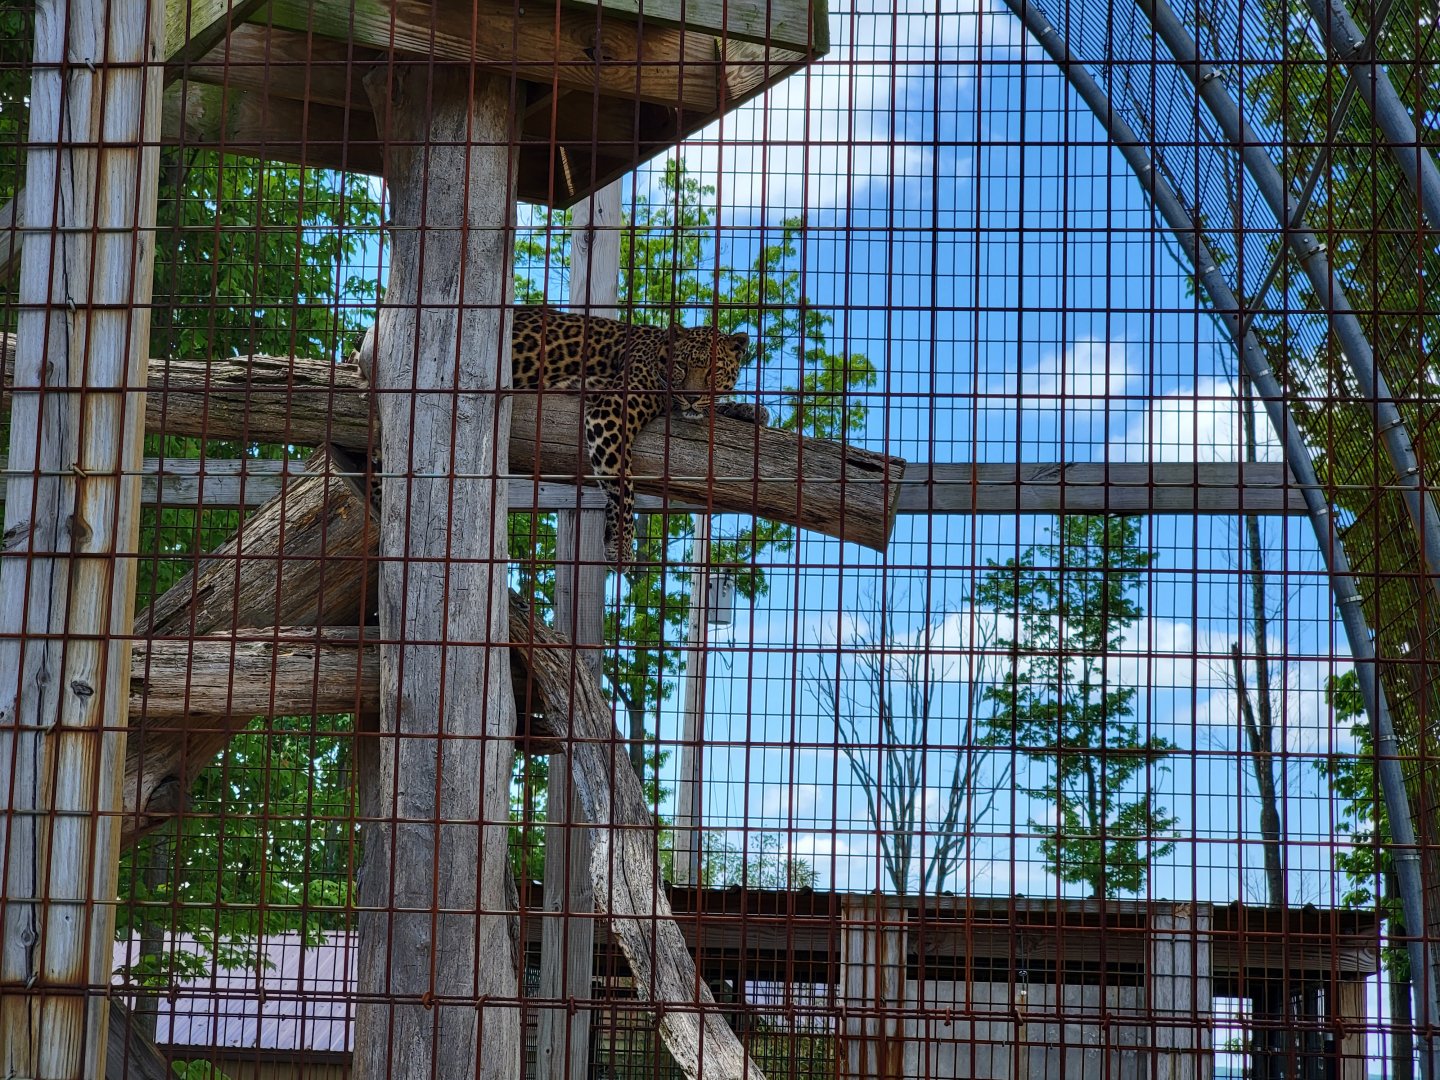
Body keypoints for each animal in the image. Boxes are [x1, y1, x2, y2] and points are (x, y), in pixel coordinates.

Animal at [509, 307, 769, 564]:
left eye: (714, 371)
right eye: (682, 365)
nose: (692, 397)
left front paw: (752, 410)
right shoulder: (609, 413)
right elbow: (621, 484)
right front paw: (621, 546)